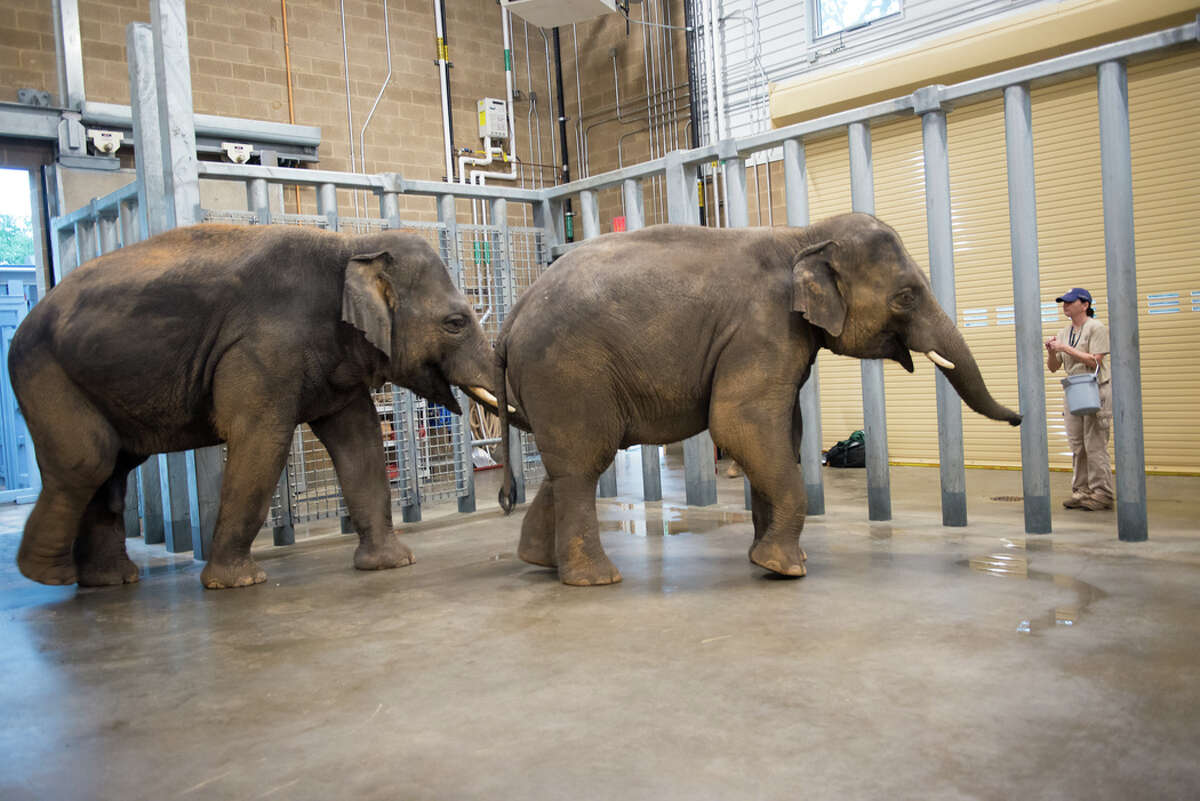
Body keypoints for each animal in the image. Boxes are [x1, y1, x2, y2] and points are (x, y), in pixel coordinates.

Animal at [9, 224, 506, 590]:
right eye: (456, 323)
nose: (505, 502)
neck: (350, 247)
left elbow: (360, 441)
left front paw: (392, 564)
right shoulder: (262, 347)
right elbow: (260, 441)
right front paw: (238, 583)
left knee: (112, 469)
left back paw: (108, 582)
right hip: (44, 374)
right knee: (87, 462)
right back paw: (49, 576)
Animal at [494, 212, 1021, 586]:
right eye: (906, 297)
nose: (1019, 419)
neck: (802, 236)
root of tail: (510, 318)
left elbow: (782, 433)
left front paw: (765, 558)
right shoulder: (764, 328)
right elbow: (740, 423)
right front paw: (785, 569)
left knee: (565, 466)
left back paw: (538, 562)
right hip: (568, 372)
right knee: (585, 462)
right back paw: (596, 580)